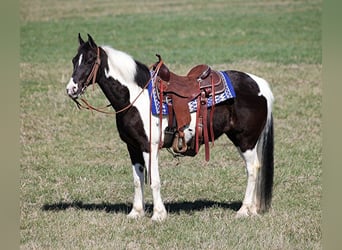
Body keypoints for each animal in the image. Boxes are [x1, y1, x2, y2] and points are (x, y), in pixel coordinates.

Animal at [66, 33, 276, 221]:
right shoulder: (132, 146)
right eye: (74, 60)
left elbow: (155, 181)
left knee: (253, 169)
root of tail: (259, 84)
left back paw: (243, 210)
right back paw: (253, 210)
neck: (136, 96)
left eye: (90, 60)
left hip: (245, 140)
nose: (71, 89)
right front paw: (136, 213)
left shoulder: (149, 146)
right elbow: (137, 180)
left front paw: (158, 215)